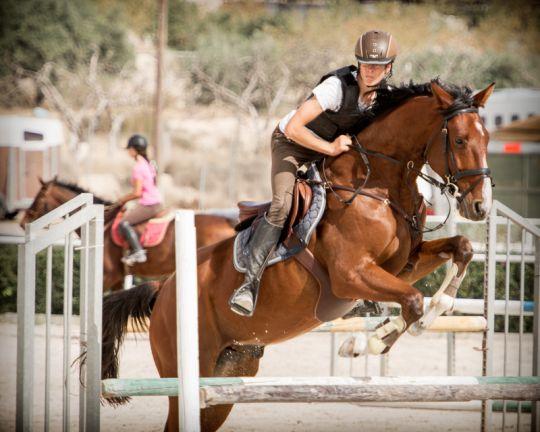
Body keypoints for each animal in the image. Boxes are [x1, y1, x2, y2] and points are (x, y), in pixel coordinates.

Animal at [99, 80, 496, 428]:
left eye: (488, 139)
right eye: (460, 139)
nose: (480, 206)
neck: (378, 187)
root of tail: (163, 290)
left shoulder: (403, 266)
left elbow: (460, 250)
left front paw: (435, 311)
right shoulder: (350, 275)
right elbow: (412, 301)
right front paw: (361, 343)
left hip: (229, 373)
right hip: (186, 371)